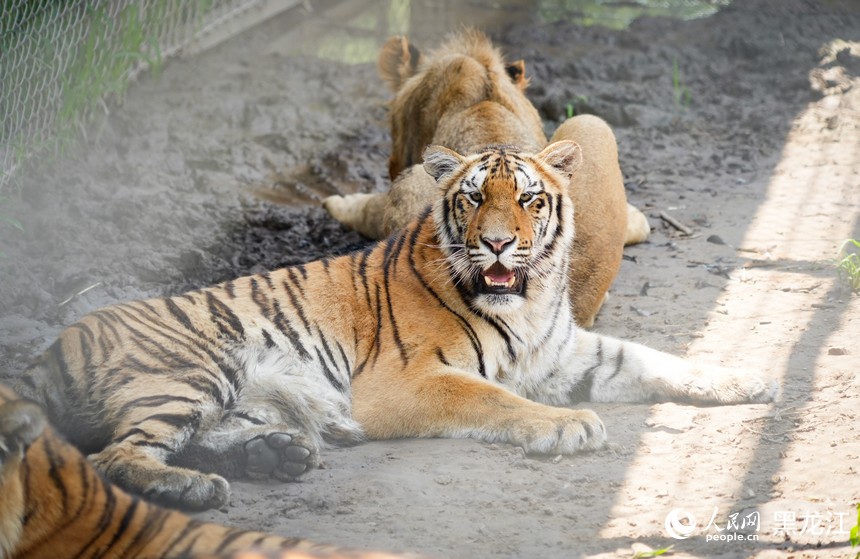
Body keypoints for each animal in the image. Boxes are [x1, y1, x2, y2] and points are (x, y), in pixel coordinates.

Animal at [14, 142, 778, 514]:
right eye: (475, 197)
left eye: (529, 199)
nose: (499, 244)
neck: (527, 300)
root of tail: (52, 345)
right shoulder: (405, 380)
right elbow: (493, 397)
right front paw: (567, 427)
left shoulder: (566, 351)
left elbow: (655, 360)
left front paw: (748, 378)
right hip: (193, 367)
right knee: (113, 456)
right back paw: (199, 488)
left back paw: (276, 455)